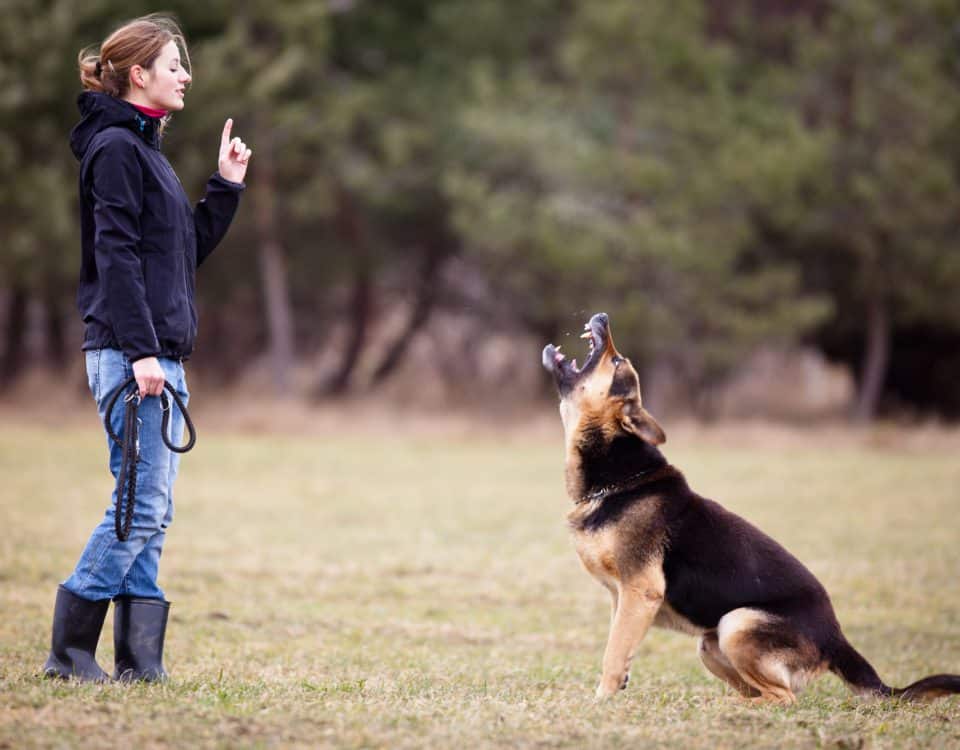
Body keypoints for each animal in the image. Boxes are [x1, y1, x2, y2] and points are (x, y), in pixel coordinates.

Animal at [540, 312, 960, 704]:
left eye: (616, 361)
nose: (603, 317)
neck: (619, 479)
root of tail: (836, 640)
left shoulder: (640, 592)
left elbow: (612, 654)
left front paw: (601, 701)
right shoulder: (622, 599)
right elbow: (619, 647)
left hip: (737, 624)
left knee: (785, 698)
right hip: (710, 645)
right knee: (761, 692)